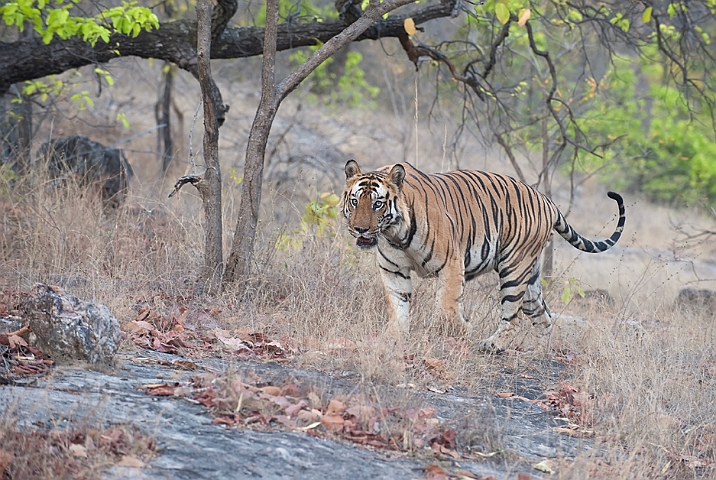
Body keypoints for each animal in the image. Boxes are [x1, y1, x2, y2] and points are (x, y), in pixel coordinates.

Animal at [338, 159, 624, 350]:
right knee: (544, 317)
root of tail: (547, 200)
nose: (360, 229)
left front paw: (463, 328)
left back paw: (492, 345)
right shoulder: (393, 270)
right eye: (355, 201)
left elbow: (446, 307)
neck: (394, 234)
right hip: (530, 280)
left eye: (378, 203)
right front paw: (393, 338)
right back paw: (537, 352)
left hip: (514, 269)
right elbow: (397, 306)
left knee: (513, 317)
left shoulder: (451, 263)